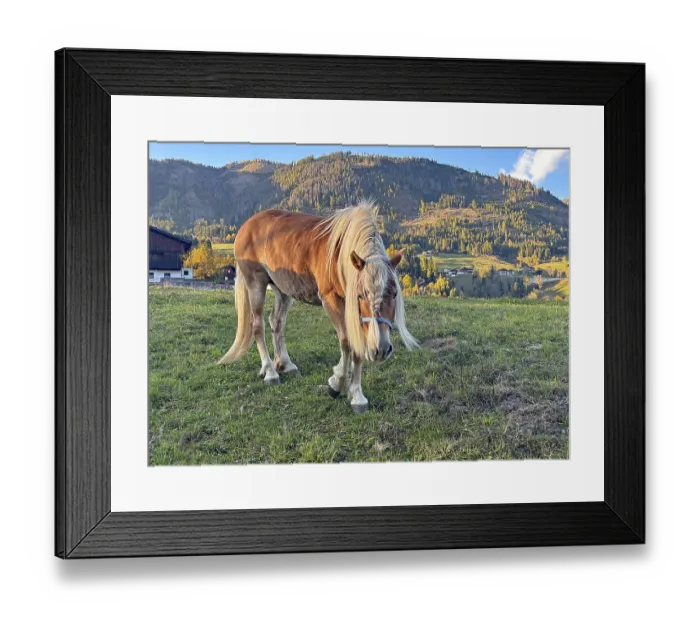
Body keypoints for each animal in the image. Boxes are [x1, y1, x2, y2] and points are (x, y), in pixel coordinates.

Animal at [218, 202, 418, 412]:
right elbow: (347, 342)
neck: (340, 255)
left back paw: (284, 364)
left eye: (394, 294)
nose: (381, 349)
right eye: (361, 295)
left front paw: (356, 395)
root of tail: (247, 225)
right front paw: (337, 384)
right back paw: (271, 372)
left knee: (276, 322)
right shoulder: (331, 300)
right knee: (258, 326)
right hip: (256, 284)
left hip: (283, 290)